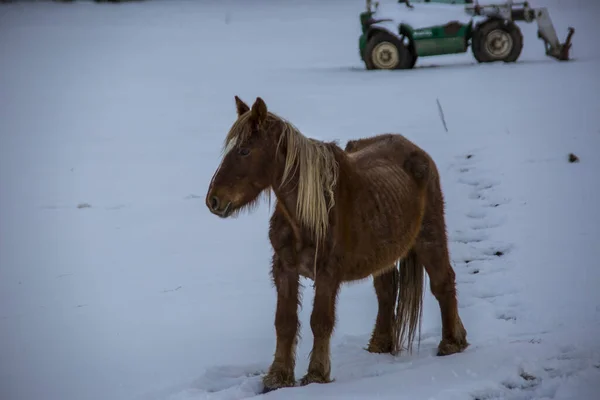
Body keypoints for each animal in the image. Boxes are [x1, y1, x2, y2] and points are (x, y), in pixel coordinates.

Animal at [206, 96, 468, 390]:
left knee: (443, 283)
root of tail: (417, 151)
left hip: (430, 236)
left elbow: (320, 321)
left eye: (244, 151)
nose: (213, 200)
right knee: (387, 293)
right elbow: (284, 322)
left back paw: (452, 343)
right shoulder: (284, 269)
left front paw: (316, 375)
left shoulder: (327, 272)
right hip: (384, 255)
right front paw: (278, 377)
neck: (310, 212)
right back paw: (380, 345)